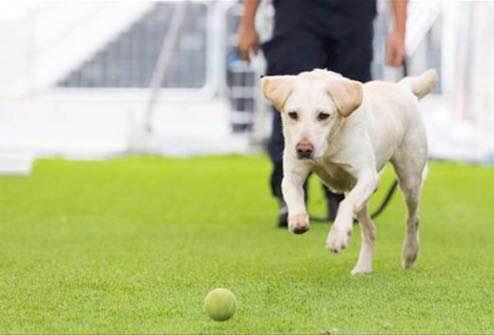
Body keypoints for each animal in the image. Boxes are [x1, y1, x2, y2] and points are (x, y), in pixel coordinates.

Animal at [262, 69, 436, 276]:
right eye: (293, 114)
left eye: (323, 115)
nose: (304, 149)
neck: (330, 145)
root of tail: (402, 86)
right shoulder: (292, 175)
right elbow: (293, 195)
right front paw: (298, 220)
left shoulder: (368, 177)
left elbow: (345, 205)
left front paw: (337, 237)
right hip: (359, 197)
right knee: (370, 230)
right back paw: (363, 267)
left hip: (409, 180)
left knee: (412, 218)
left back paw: (409, 254)